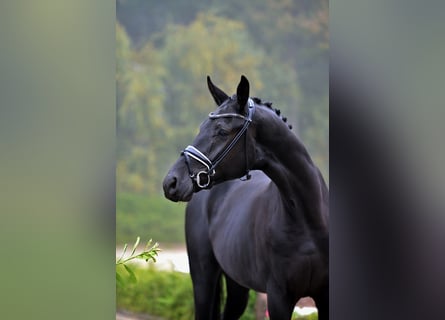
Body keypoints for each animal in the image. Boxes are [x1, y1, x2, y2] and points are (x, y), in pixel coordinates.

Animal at [162, 76, 326, 318]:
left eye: (222, 131)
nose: (171, 182)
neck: (307, 220)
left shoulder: (324, 296)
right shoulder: (279, 297)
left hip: (237, 286)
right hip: (203, 278)